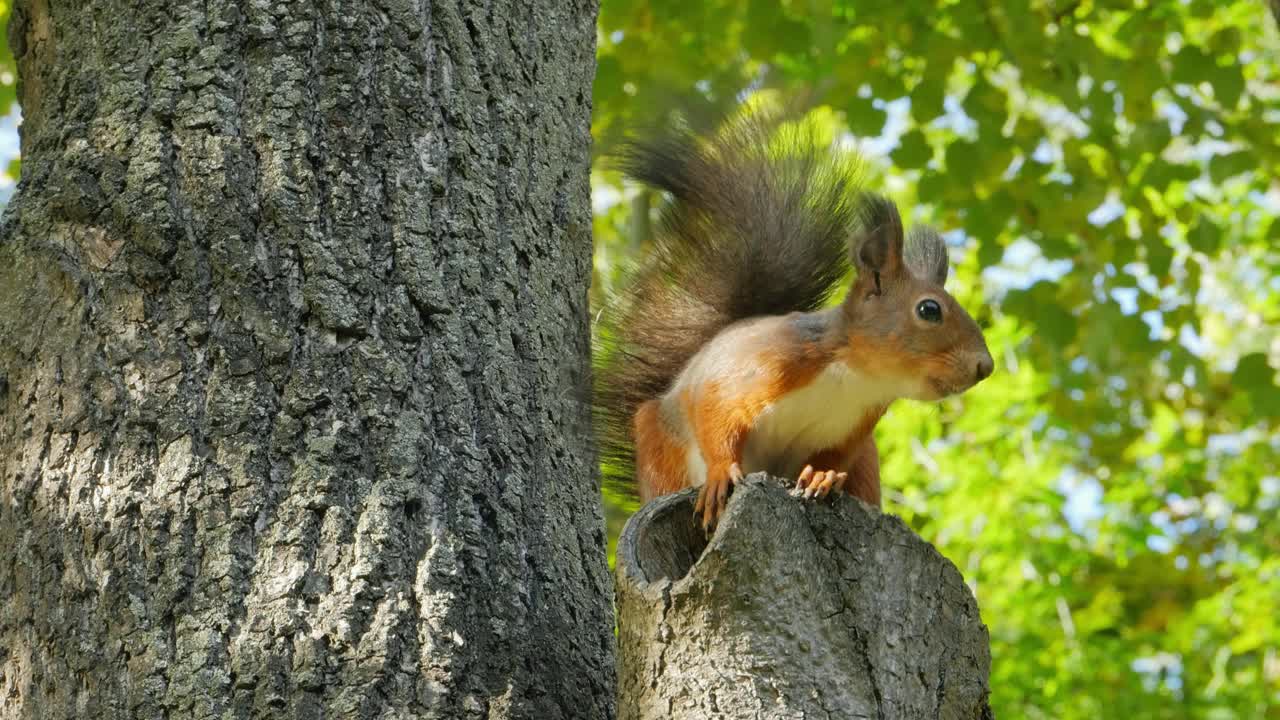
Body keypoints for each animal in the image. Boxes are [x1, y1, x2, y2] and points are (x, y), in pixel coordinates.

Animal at [593, 110, 993, 527]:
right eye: (929, 310)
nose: (985, 366)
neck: (858, 376)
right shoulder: (760, 365)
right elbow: (715, 413)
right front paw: (720, 474)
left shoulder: (853, 430)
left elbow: (832, 458)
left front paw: (823, 476)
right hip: (660, 445)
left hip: (867, 456)